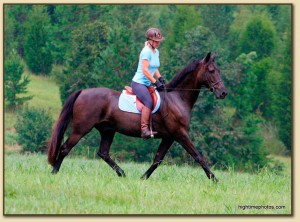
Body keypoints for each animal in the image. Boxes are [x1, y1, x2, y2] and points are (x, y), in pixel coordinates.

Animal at [48, 52, 229, 182]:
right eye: (211, 71)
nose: (223, 93)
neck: (177, 98)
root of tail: (83, 92)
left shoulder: (169, 137)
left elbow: (158, 159)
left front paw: (143, 178)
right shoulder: (180, 134)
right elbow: (198, 156)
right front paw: (215, 179)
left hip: (108, 130)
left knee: (103, 153)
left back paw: (122, 173)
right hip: (81, 129)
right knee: (65, 148)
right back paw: (54, 172)